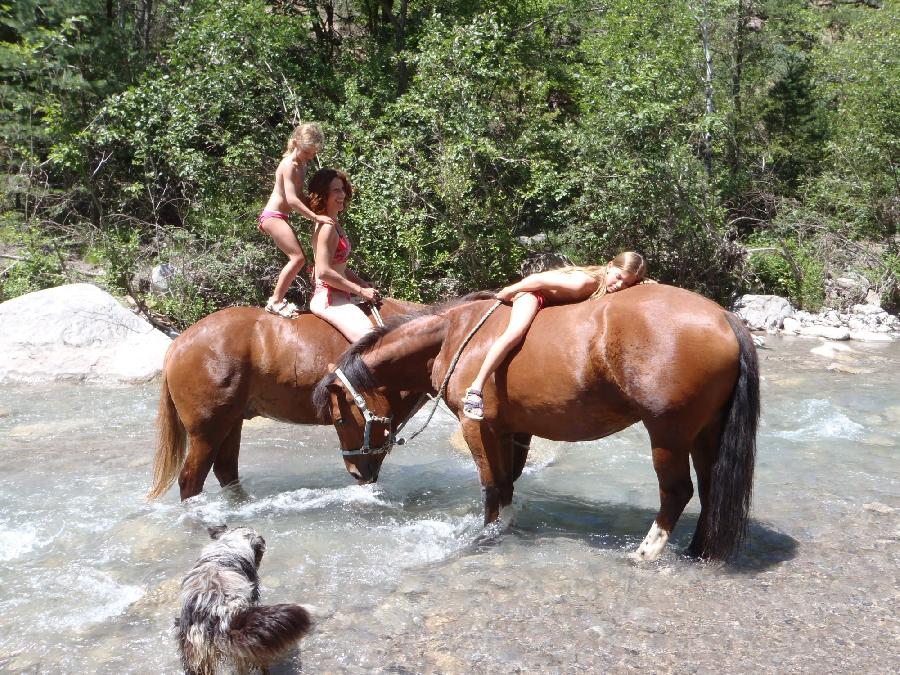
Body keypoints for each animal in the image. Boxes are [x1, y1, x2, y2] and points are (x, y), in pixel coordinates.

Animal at [148, 298, 422, 500]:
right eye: (341, 420)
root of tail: (178, 344)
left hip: (231, 423)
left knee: (226, 470)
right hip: (207, 433)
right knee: (191, 481)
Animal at [314, 282, 760, 564]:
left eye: (338, 416)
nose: (355, 471)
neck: (455, 337)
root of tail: (725, 318)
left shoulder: (478, 428)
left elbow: (491, 485)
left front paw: (486, 535)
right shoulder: (514, 431)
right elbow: (507, 483)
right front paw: (506, 527)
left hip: (668, 433)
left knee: (678, 491)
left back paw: (647, 552)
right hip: (705, 433)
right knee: (710, 487)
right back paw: (699, 550)